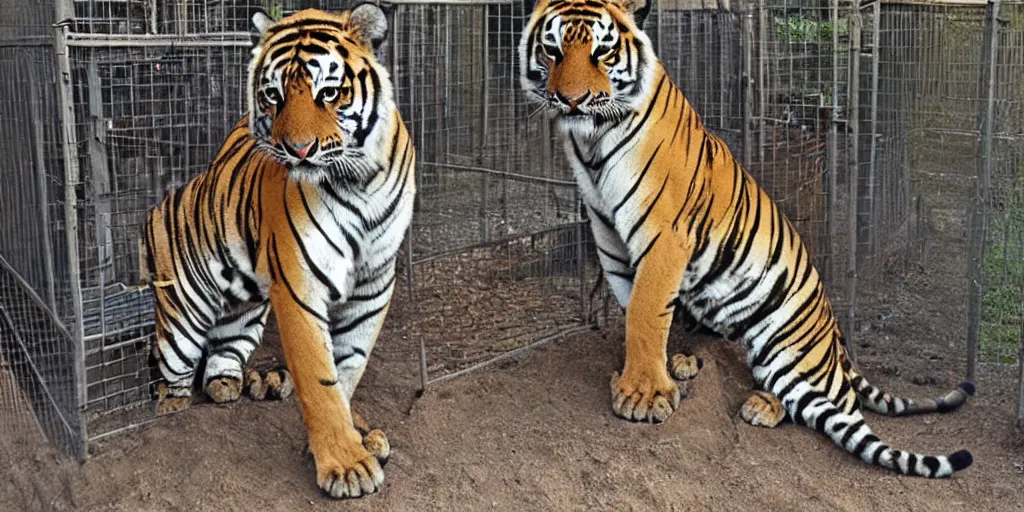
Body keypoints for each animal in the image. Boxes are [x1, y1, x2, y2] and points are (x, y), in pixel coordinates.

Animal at [139, 4, 411, 497]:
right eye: (272, 95)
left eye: (329, 92)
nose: (297, 150)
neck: (359, 180)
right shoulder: (300, 284)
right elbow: (320, 377)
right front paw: (347, 465)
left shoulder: (375, 283)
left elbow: (350, 367)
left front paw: (358, 436)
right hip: (181, 321)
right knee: (173, 380)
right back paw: (174, 410)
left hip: (245, 316)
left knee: (220, 357)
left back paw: (230, 385)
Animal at [520, 0, 974, 477]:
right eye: (551, 50)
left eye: (603, 53)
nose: (571, 100)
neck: (591, 146)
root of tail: (835, 337)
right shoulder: (609, 239)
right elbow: (639, 312)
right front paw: (650, 375)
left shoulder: (664, 235)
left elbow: (646, 312)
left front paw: (642, 396)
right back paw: (687, 362)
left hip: (789, 356)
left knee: (833, 407)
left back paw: (762, 406)